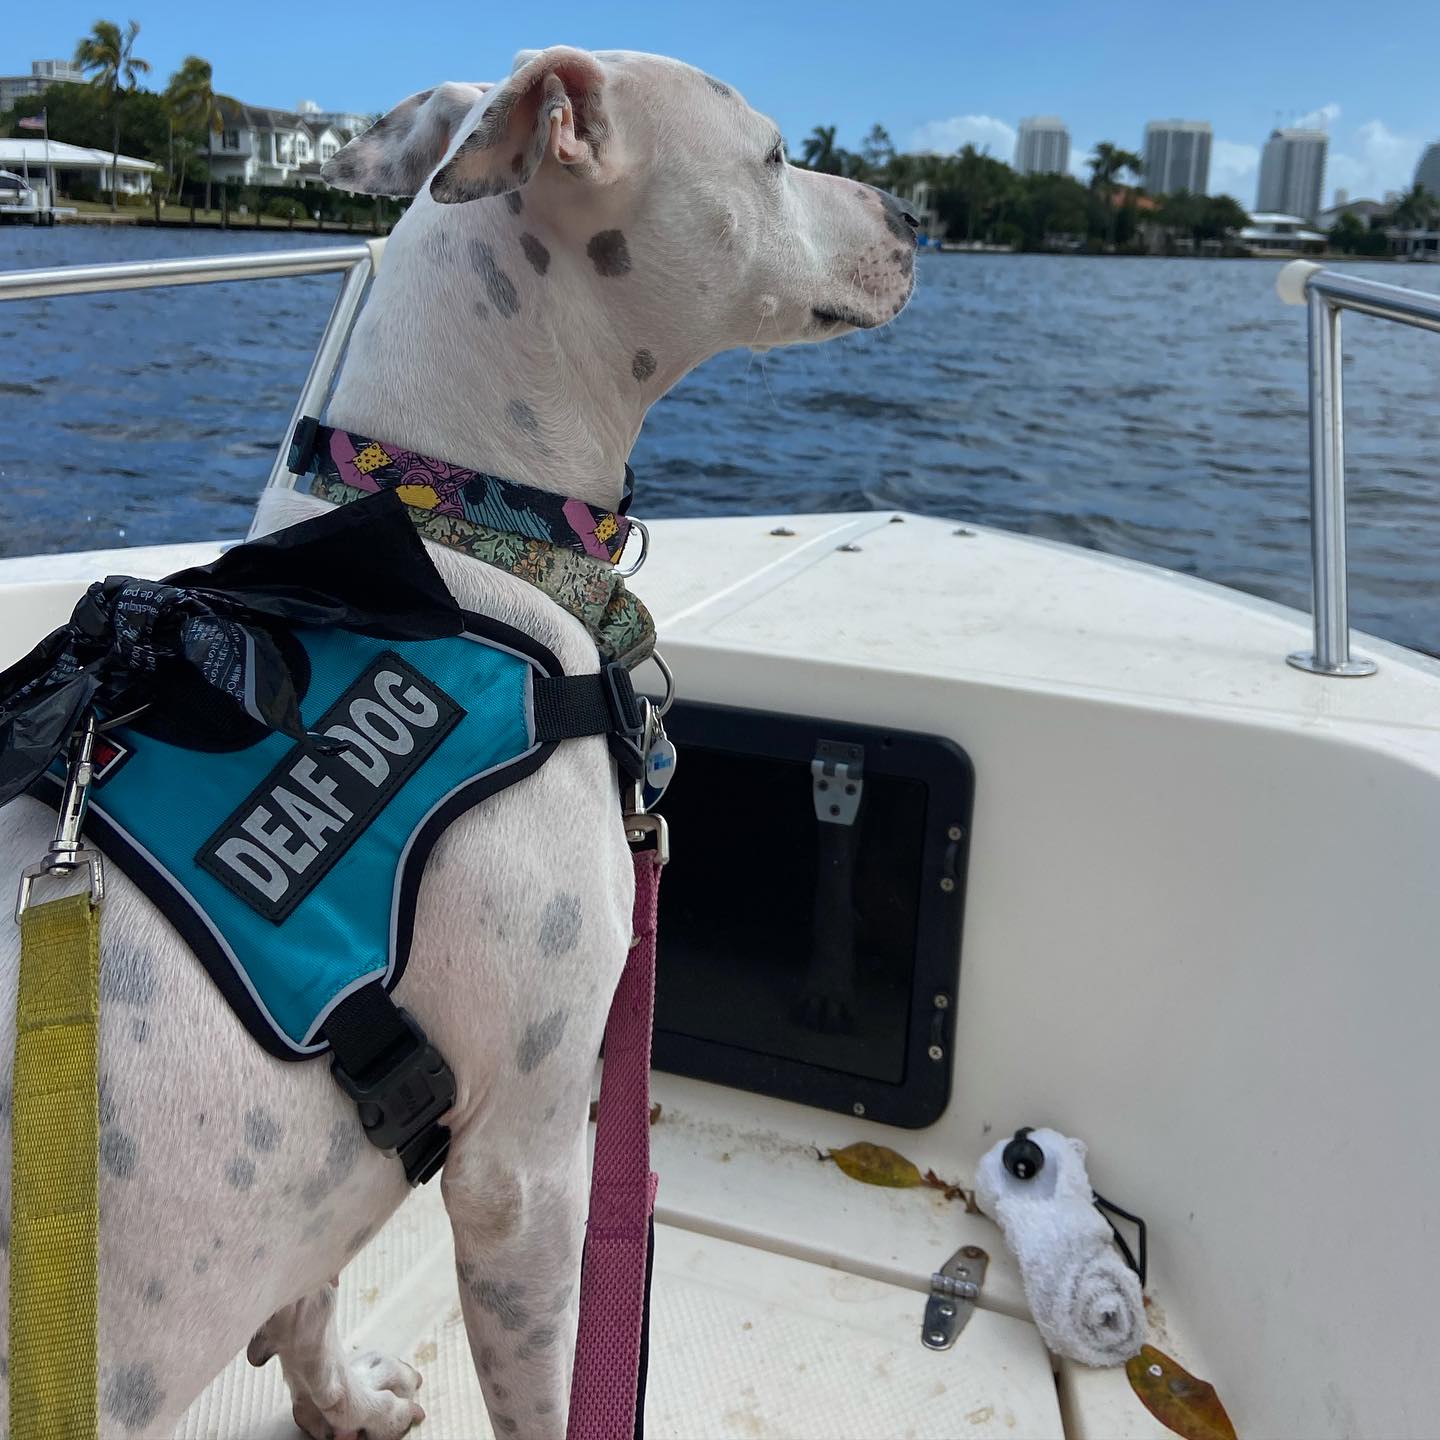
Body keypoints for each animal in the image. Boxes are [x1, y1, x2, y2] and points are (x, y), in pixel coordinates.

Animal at [0, 45, 915, 1440]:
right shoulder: (525, 1170)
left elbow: (312, 1294)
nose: (918, 214)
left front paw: (339, 1403)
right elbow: (547, 1384)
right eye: (770, 157)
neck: (445, 525)